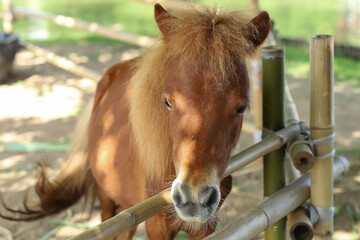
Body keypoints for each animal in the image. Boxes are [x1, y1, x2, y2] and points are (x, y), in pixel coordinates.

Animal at [0, 4, 270, 240]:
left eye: (241, 107)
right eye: (167, 102)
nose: (194, 198)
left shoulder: (206, 225)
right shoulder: (158, 225)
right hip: (107, 200)